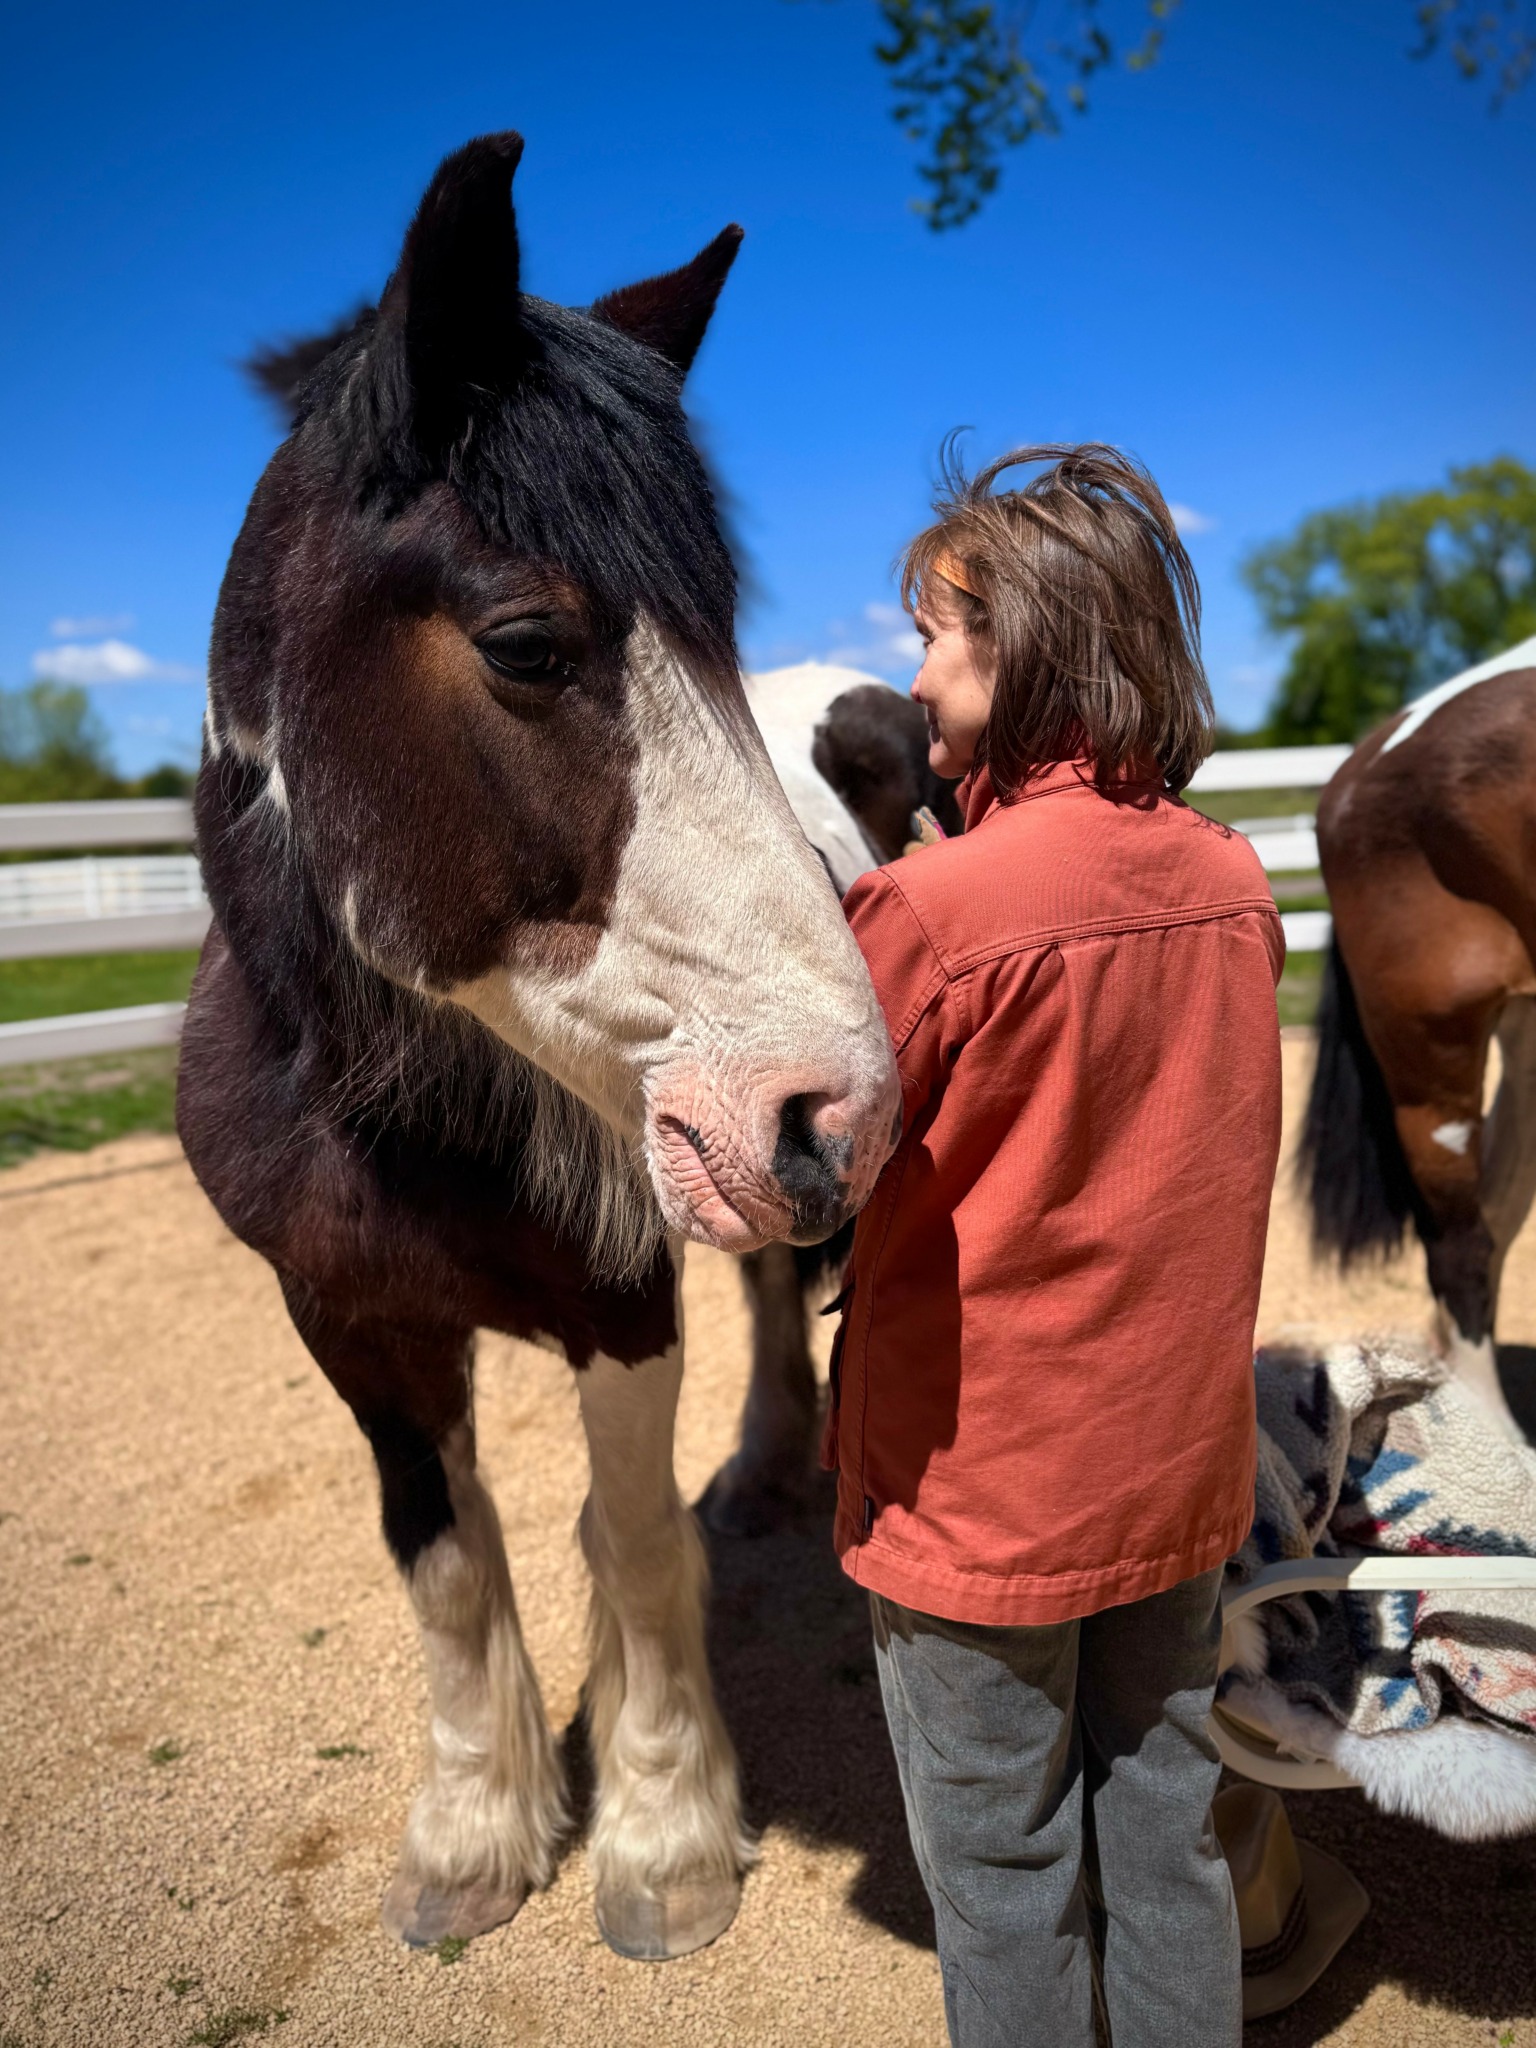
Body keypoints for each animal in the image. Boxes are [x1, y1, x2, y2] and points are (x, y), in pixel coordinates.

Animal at [177, 131, 902, 1963]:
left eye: (720, 641)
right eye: (527, 644)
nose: (845, 1108)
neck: (394, 1111)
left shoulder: (620, 1302)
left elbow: (629, 1542)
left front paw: (663, 1843)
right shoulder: (348, 1318)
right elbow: (444, 1562)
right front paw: (474, 1838)